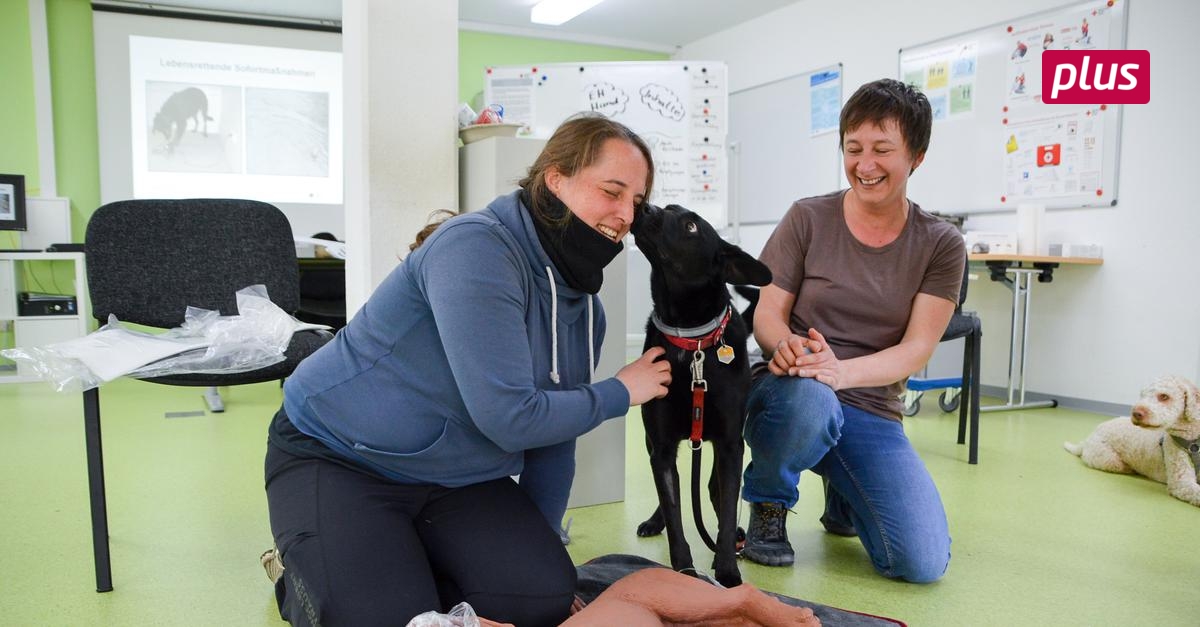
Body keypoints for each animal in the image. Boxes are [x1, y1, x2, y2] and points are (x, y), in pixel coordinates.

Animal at [633, 204, 772, 586]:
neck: (690, 342)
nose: (644, 205)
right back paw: (655, 520)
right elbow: (675, 512)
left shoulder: (729, 444)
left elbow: (725, 506)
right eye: (667, 208)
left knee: (714, 489)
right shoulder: (662, 446)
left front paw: (727, 571)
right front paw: (685, 573)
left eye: (691, 226)